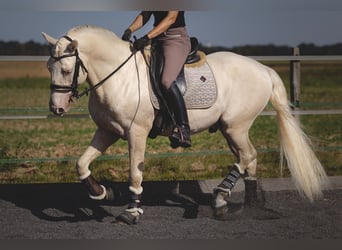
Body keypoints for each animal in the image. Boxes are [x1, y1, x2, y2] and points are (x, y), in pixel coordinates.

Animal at [42, 25, 328, 225]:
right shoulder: (107, 131)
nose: (56, 109)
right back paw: (245, 205)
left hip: (236, 126)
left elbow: (135, 173)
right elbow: (81, 164)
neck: (120, 76)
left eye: (66, 70)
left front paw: (131, 212)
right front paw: (102, 192)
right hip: (230, 130)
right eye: (48, 67)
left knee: (248, 156)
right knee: (249, 160)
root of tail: (262, 69)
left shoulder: (136, 133)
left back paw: (221, 196)